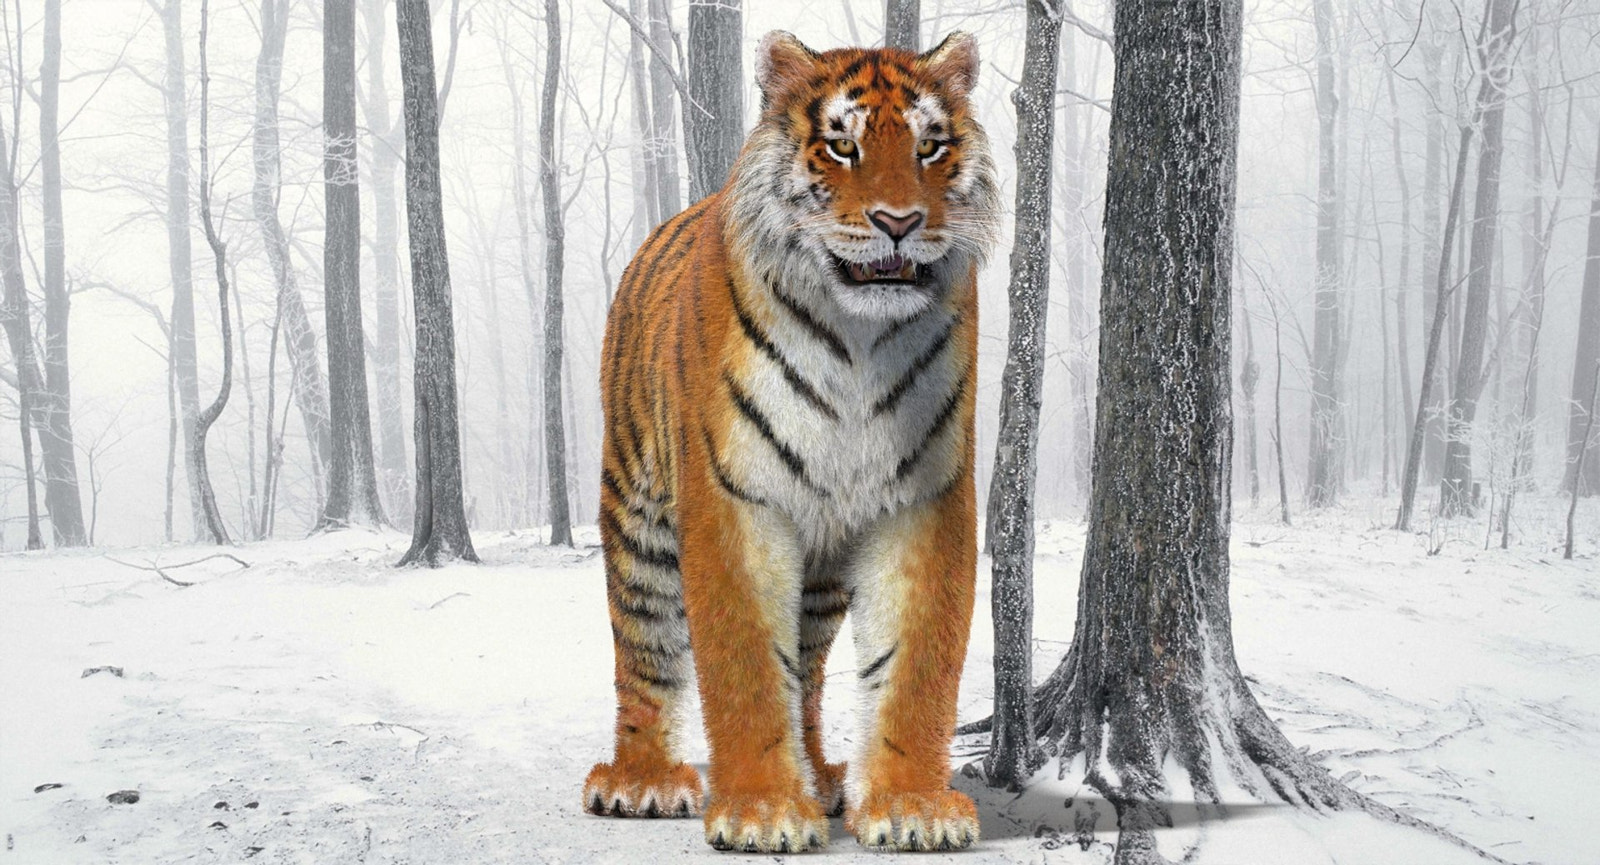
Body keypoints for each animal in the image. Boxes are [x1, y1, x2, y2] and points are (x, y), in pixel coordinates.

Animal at [582, 30, 999, 853]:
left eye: (931, 145)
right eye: (841, 145)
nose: (898, 221)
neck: (859, 339)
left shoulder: (925, 496)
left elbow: (916, 662)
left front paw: (912, 806)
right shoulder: (735, 499)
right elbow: (744, 664)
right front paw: (763, 812)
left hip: (824, 566)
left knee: (804, 672)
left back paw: (821, 779)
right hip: (638, 517)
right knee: (644, 650)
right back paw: (642, 780)